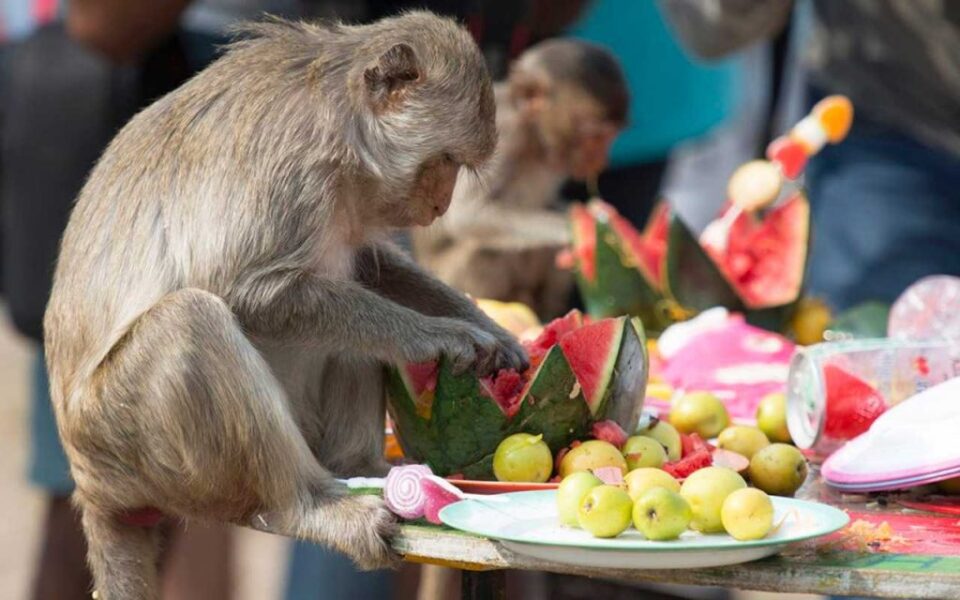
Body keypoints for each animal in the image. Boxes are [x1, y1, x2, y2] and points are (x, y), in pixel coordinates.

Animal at [45, 14, 524, 600]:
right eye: (448, 160)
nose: (440, 204)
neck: (342, 122)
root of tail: (91, 485)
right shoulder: (294, 167)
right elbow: (243, 290)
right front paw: (435, 334)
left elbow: (371, 267)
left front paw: (488, 328)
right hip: (128, 445)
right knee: (191, 321)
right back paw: (308, 505)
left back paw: (364, 469)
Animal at [412, 38, 632, 318]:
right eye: (594, 137)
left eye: (610, 137)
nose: (602, 159)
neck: (533, 135)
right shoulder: (504, 134)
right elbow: (467, 216)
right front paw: (578, 230)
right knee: (487, 250)